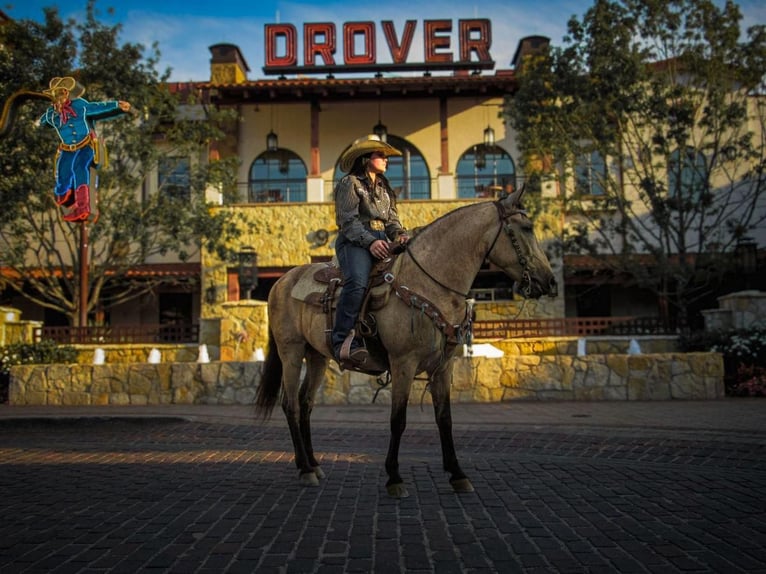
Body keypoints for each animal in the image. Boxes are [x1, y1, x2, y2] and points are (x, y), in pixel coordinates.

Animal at [255, 189, 560, 500]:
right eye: (527, 228)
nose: (549, 281)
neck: (429, 284)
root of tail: (281, 282)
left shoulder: (444, 366)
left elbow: (444, 418)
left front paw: (458, 474)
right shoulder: (403, 363)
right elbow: (398, 419)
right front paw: (394, 477)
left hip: (317, 356)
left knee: (306, 404)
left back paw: (314, 464)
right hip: (291, 352)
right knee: (290, 404)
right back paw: (305, 469)